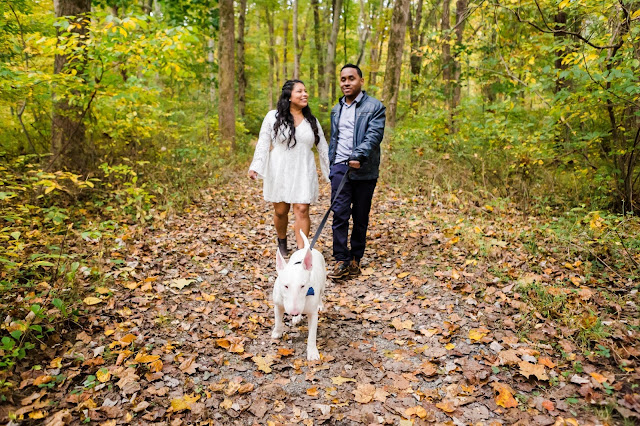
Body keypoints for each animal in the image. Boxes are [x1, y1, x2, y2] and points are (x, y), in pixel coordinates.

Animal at [272, 230, 328, 360]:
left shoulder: (313, 313)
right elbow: (277, 320)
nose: (294, 312)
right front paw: (277, 332)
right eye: (285, 286)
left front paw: (312, 353)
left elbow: (312, 335)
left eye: (303, 286)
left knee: (321, 295)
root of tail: (308, 247)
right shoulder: (278, 305)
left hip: (323, 283)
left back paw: (319, 305)